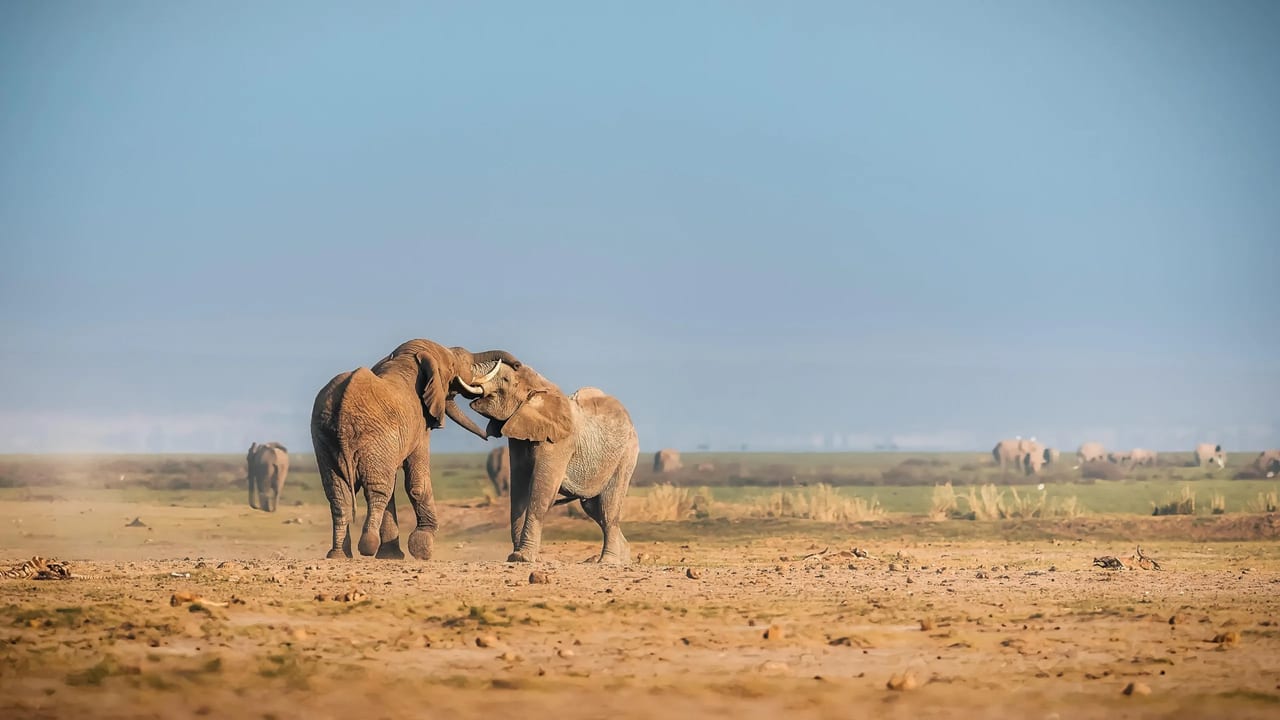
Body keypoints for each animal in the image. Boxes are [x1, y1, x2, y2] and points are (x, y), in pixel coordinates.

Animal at [311, 340, 520, 561]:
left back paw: (338, 555)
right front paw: (423, 548)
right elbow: (416, 481)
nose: (517, 366)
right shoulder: (419, 425)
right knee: (377, 491)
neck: (406, 360)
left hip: (325, 437)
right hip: (370, 437)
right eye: (452, 367)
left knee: (338, 494)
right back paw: (367, 546)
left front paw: (391, 556)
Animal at [463, 361, 639, 565]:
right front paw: (516, 557)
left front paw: (523, 557)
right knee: (592, 508)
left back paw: (608, 561)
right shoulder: (518, 437)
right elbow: (519, 490)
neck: (540, 388)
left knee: (607, 508)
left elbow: (541, 491)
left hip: (626, 455)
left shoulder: (559, 442)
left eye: (506, 380)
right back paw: (620, 558)